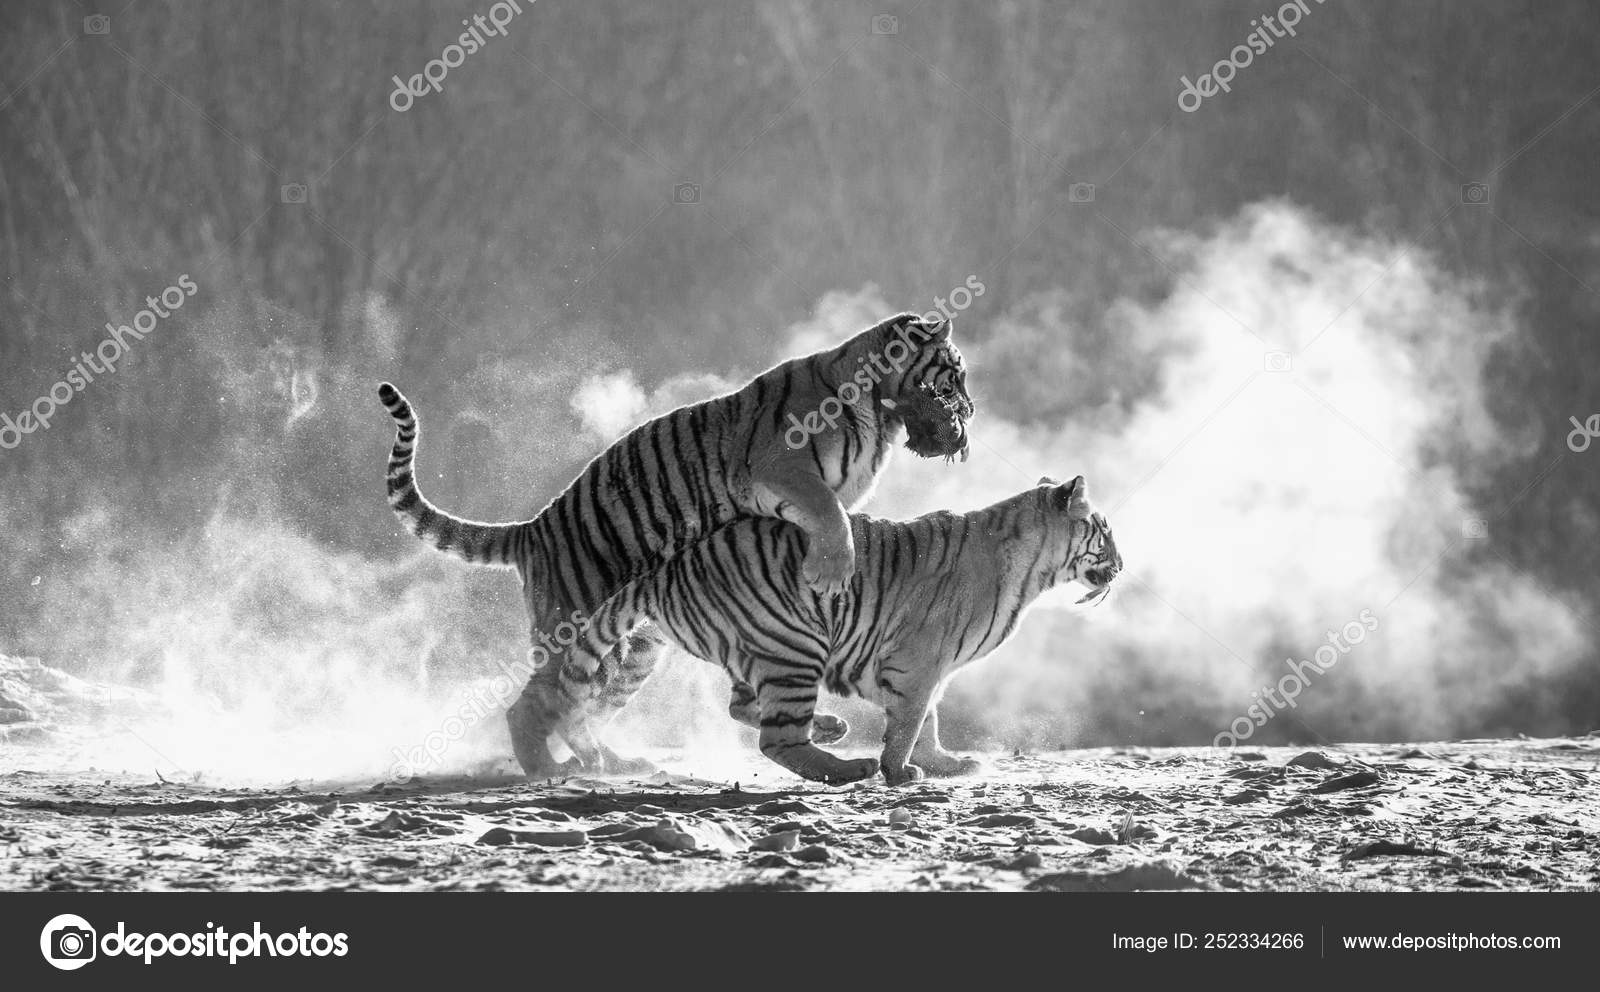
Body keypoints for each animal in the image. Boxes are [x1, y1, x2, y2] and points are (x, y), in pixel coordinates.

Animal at [377, 313, 972, 777]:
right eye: (955, 375)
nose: (967, 416)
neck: (881, 409)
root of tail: (535, 526)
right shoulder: (785, 468)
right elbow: (831, 519)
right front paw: (833, 572)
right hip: (572, 620)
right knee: (537, 704)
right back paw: (546, 769)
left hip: (638, 650)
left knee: (593, 708)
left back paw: (618, 762)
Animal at [556, 476, 1120, 787]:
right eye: (1106, 532)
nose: (1121, 564)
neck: (1032, 571)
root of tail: (665, 569)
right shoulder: (920, 661)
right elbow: (912, 722)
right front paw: (900, 772)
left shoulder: (924, 667)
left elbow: (927, 720)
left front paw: (946, 764)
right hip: (795, 645)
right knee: (776, 740)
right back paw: (851, 768)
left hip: (758, 653)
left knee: (743, 708)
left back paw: (830, 728)